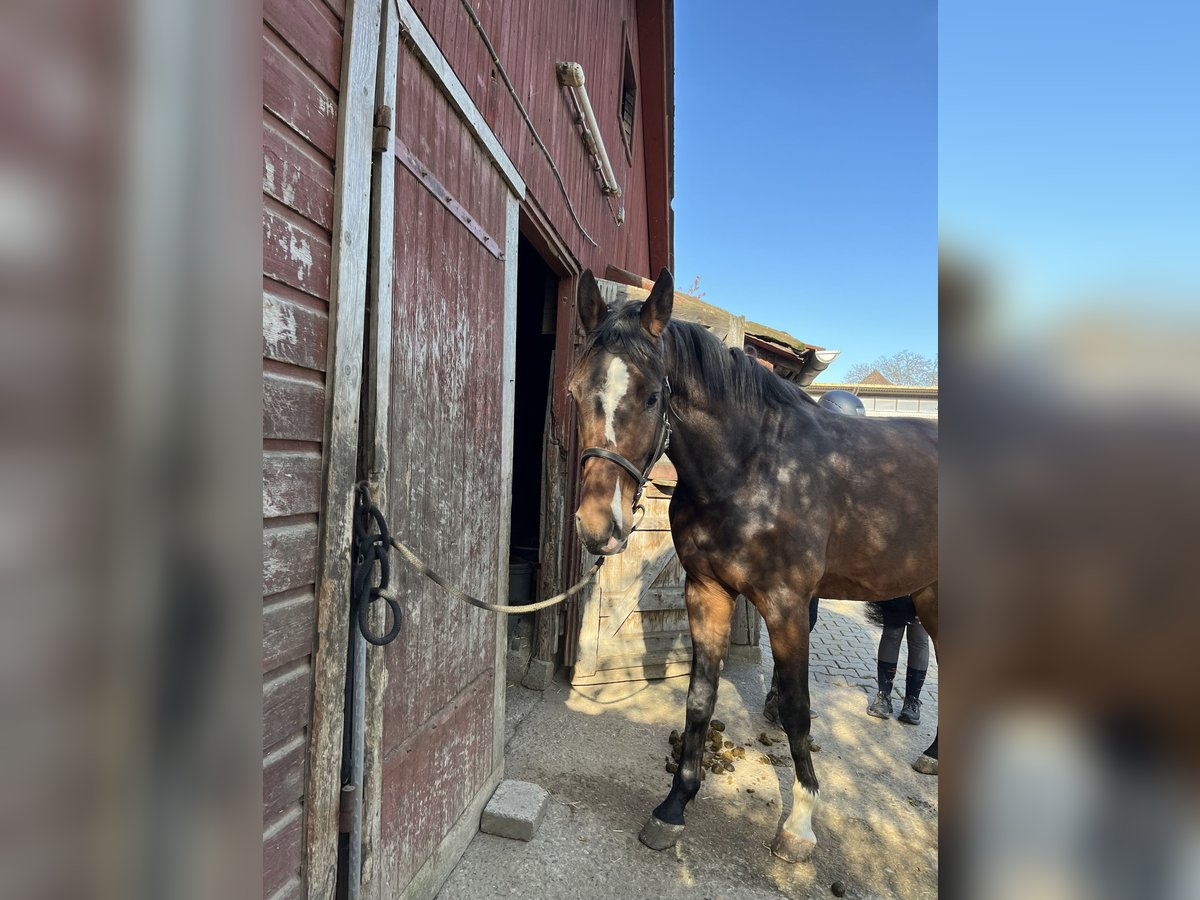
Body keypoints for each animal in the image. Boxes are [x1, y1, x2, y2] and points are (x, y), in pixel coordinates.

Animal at [568, 270, 936, 868]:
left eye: (651, 396)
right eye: (575, 391)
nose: (600, 527)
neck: (753, 467)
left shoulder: (787, 606)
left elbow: (796, 708)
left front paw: (801, 822)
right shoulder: (706, 592)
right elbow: (700, 698)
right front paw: (673, 808)